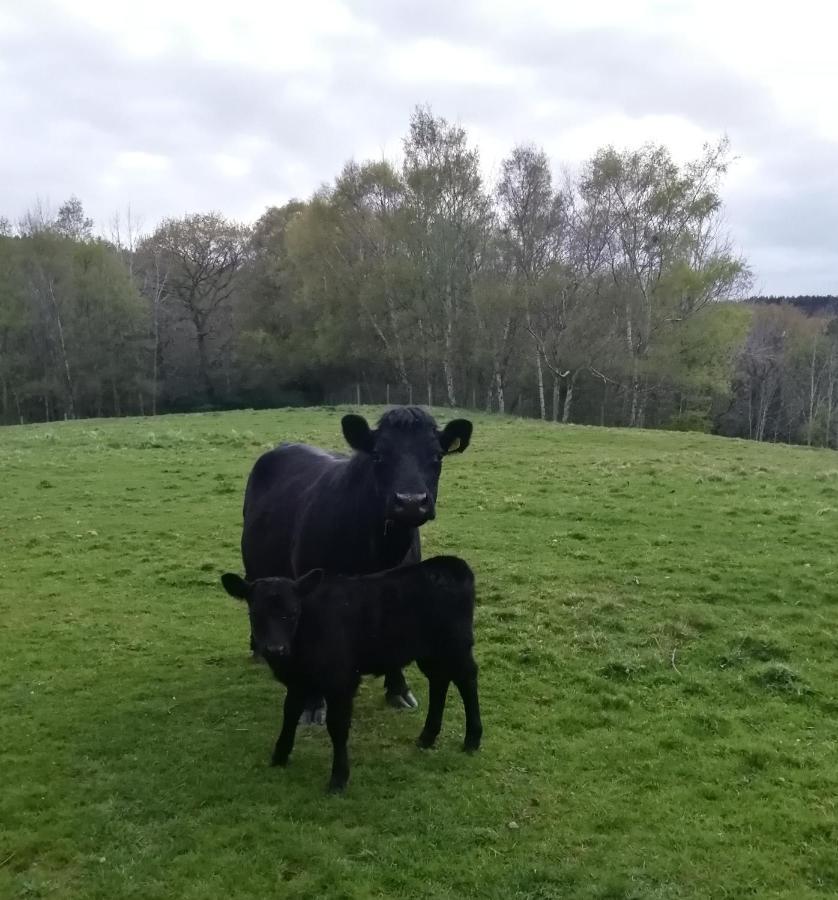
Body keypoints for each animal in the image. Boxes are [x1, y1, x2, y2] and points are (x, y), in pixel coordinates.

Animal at [221, 556, 486, 796]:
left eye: (293, 612)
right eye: (255, 613)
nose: (275, 649)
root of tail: (450, 564)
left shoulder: (341, 681)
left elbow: (337, 726)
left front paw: (338, 778)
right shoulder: (298, 682)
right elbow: (290, 714)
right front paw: (279, 756)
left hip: (456, 645)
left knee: (467, 679)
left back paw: (472, 739)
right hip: (429, 652)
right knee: (439, 681)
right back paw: (427, 737)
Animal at [240, 408, 472, 716]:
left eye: (437, 456)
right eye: (378, 455)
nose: (411, 501)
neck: (378, 551)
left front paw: (398, 689)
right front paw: (313, 703)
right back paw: (258, 648)